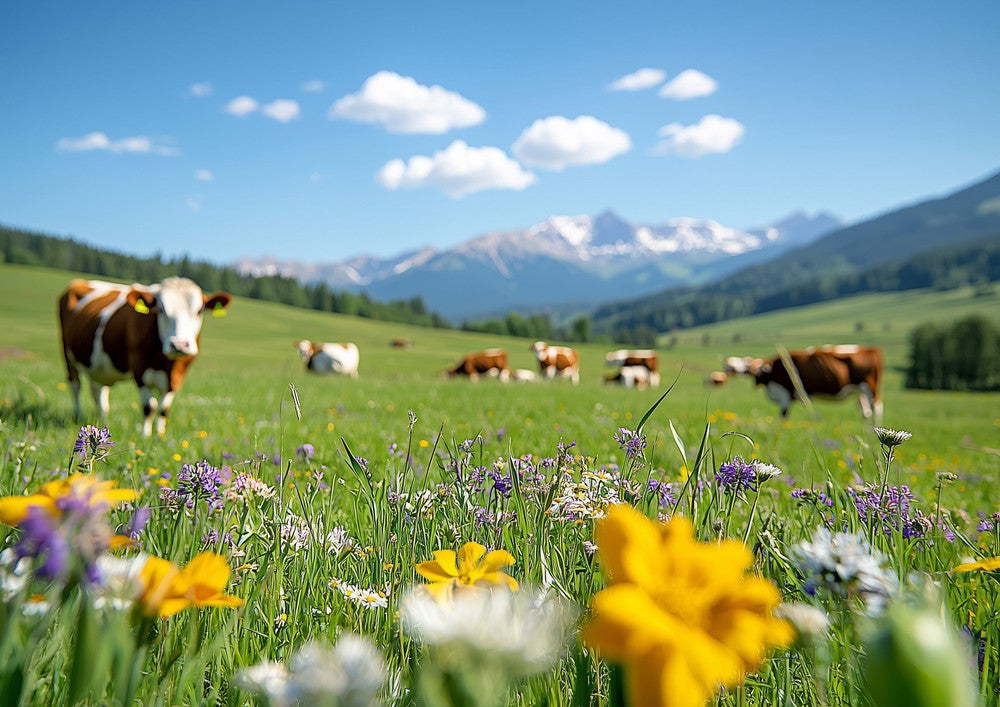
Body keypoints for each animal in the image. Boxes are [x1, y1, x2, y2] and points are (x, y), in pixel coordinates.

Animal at [59, 276, 232, 436]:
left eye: (199, 310)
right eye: (161, 310)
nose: (179, 345)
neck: (167, 364)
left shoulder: (177, 376)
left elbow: (164, 409)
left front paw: (160, 435)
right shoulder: (139, 370)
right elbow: (149, 407)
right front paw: (145, 436)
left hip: (99, 367)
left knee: (99, 393)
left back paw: (103, 422)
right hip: (67, 355)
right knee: (75, 385)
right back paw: (78, 416)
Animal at [752, 348, 884, 420]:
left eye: (756, 371)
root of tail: (871, 350)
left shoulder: (785, 394)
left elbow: (783, 415)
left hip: (870, 388)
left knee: (877, 407)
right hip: (859, 392)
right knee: (866, 412)